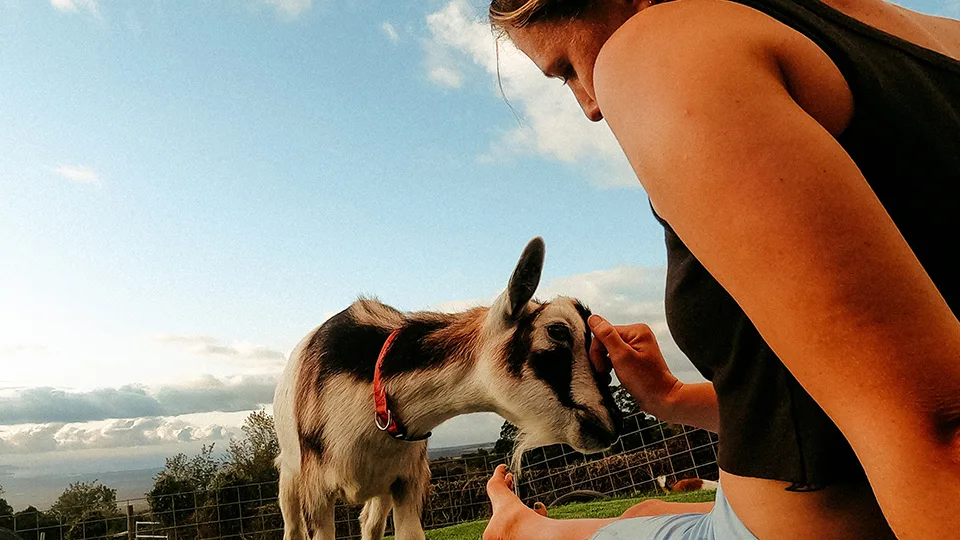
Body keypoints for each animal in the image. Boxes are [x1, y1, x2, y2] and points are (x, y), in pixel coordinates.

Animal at [273, 237, 622, 540]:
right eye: (557, 331)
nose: (610, 424)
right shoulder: (317, 492)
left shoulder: (407, 482)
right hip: (290, 474)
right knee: (292, 527)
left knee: (369, 524)